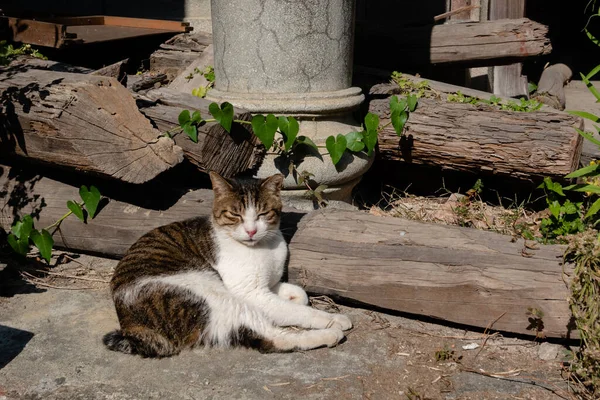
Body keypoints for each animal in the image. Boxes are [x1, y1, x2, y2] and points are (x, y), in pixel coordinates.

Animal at [103, 171, 352, 356]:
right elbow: (298, 311)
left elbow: (300, 295)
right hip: (214, 296)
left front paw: (294, 299)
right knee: (270, 339)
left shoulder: (268, 286)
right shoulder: (251, 293)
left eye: (262, 214)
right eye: (235, 215)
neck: (263, 247)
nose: (251, 231)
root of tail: (131, 327)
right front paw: (331, 319)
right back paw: (330, 334)